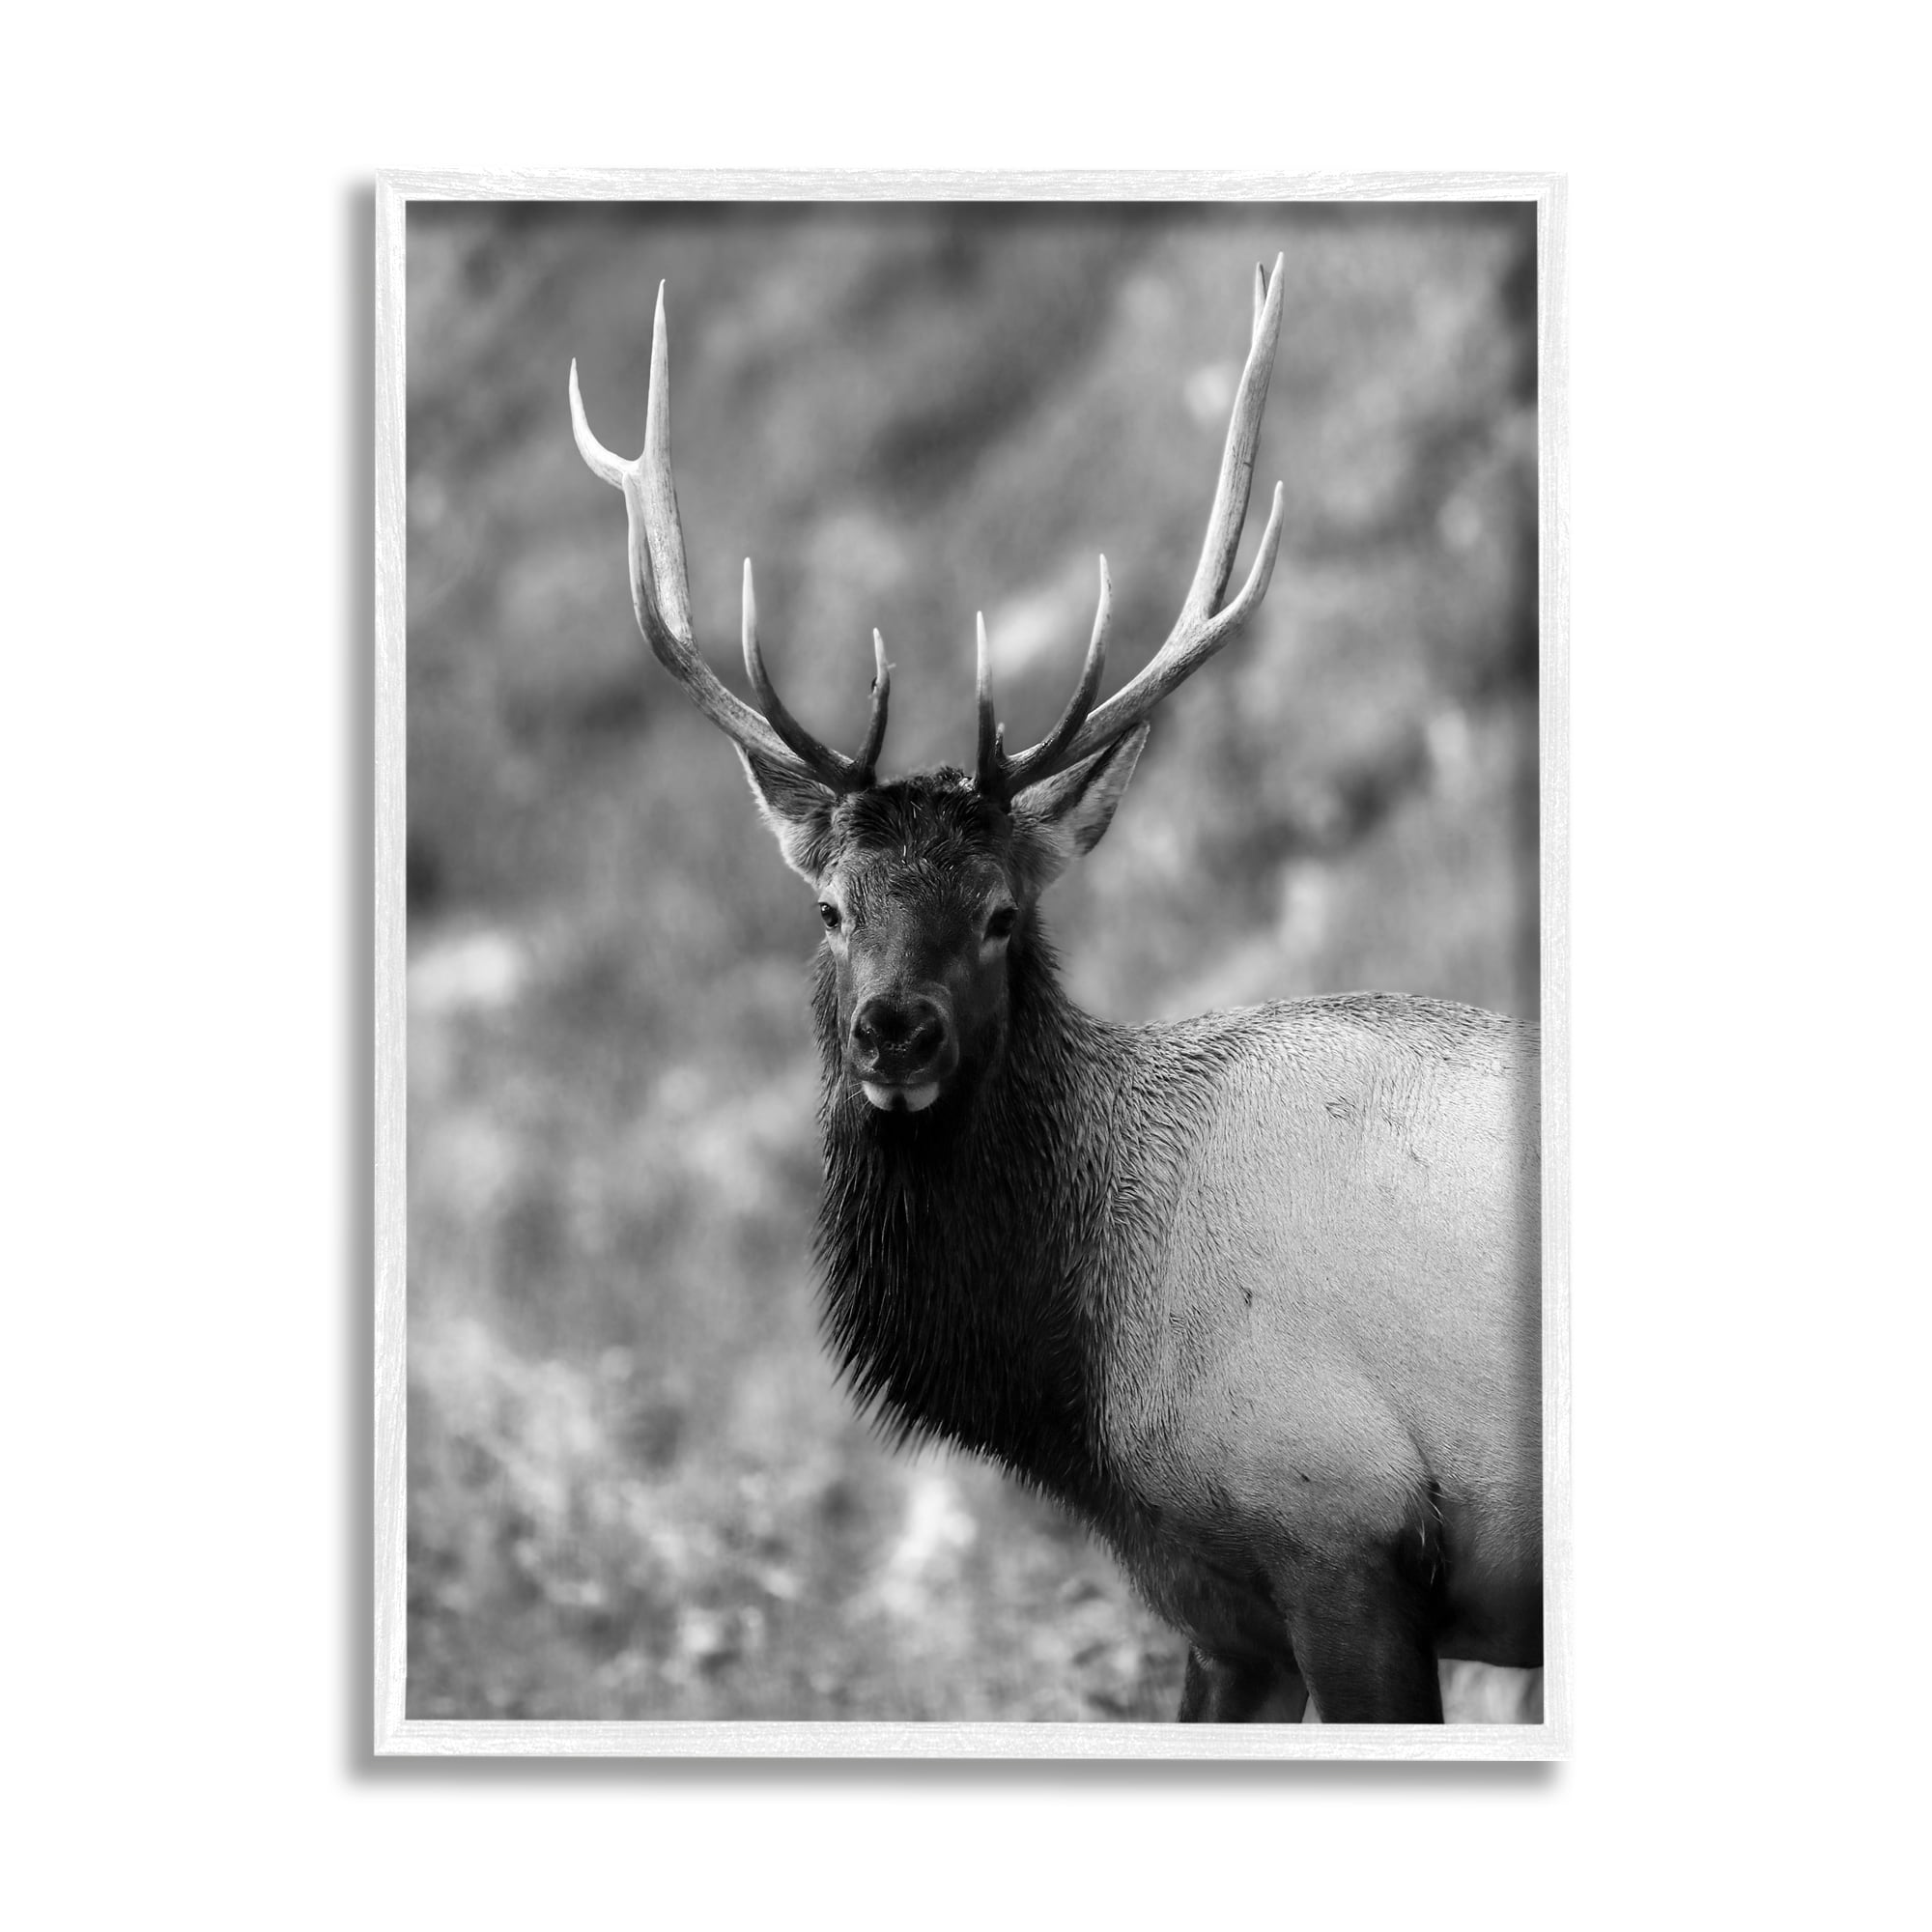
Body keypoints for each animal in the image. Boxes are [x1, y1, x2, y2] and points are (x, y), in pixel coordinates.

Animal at [567, 257, 1542, 1724]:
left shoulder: (1343, 1534)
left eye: (1002, 913)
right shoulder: (1215, 1603)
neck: (1080, 1379)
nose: (894, 1030)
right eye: (832, 908)